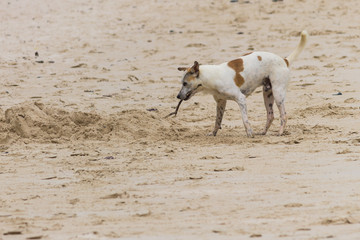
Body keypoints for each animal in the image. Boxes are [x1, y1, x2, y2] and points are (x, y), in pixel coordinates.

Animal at [176, 31, 308, 138]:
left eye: (185, 83)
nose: (178, 96)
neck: (212, 76)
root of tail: (284, 60)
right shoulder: (221, 102)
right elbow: (217, 121)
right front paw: (213, 133)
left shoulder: (241, 99)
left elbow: (245, 120)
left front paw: (249, 133)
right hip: (267, 94)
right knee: (270, 116)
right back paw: (263, 132)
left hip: (278, 94)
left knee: (284, 116)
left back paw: (280, 132)